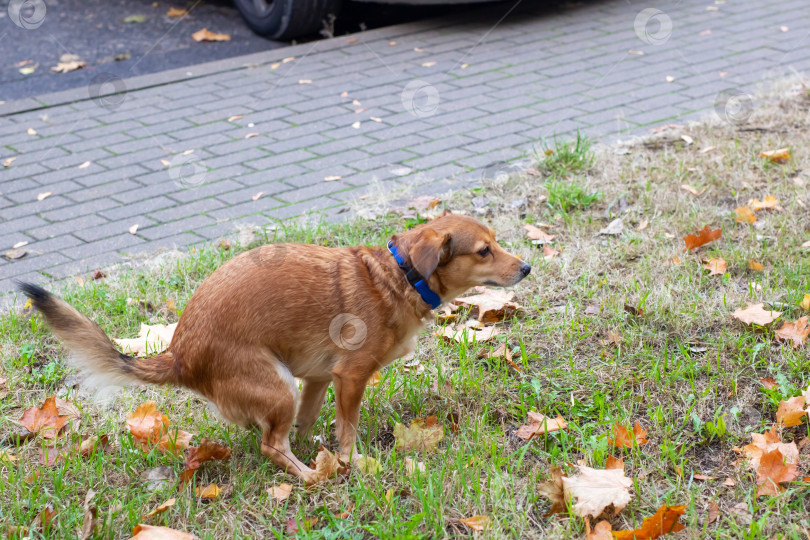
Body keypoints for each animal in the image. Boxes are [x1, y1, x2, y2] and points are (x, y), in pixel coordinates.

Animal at [20, 213, 532, 484]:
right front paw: (346, 464)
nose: (526, 267)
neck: (399, 275)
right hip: (277, 385)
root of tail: (180, 354)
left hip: (285, 385)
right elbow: (347, 432)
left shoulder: (319, 379)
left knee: (277, 439)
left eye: (496, 243)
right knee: (269, 445)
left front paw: (319, 449)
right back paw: (310, 478)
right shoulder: (350, 377)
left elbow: (309, 423)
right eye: (483, 251)